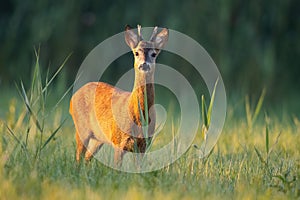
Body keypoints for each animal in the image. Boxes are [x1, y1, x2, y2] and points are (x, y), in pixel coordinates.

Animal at [69, 24, 169, 166]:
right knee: (79, 157)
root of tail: (73, 98)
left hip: (97, 138)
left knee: (87, 157)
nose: (144, 64)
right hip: (82, 128)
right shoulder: (118, 141)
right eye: (136, 52)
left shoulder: (143, 145)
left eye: (154, 54)